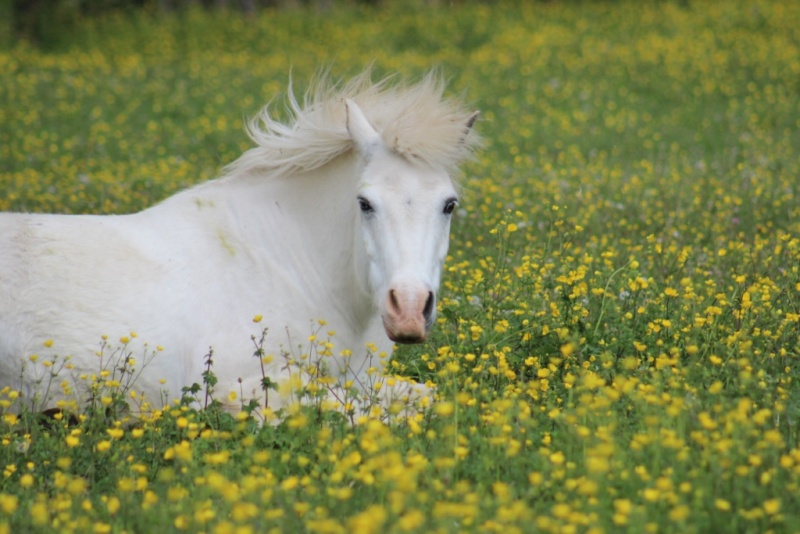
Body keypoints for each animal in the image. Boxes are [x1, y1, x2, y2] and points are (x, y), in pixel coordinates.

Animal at [0, 71, 478, 420]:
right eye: (364, 203)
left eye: (449, 204)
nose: (409, 311)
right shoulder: (239, 390)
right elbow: (362, 413)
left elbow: (422, 397)